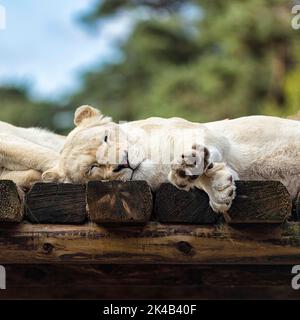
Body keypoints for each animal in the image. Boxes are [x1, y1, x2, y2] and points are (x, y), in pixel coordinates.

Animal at [0, 105, 300, 215]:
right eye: (93, 168)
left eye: (106, 137)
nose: (121, 163)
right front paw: (216, 189)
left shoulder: (207, 132)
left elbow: (202, 149)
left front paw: (191, 166)